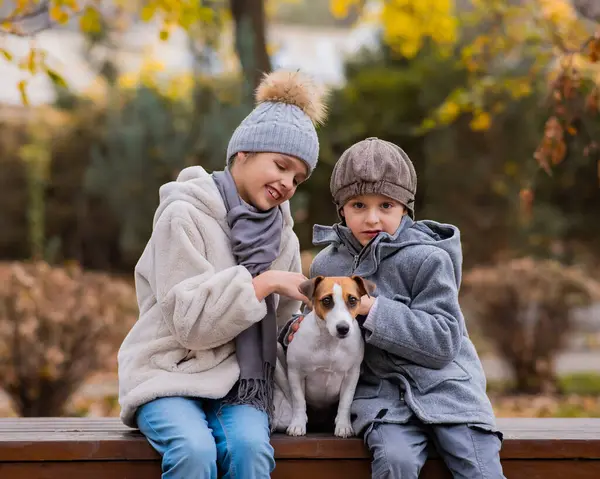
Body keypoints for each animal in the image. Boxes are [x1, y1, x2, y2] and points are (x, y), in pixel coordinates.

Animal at [274, 276, 376, 436]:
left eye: (353, 300)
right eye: (327, 300)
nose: (343, 328)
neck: (330, 342)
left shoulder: (351, 375)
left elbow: (345, 402)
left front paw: (343, 425)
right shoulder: (296, 373)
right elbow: (298, 401)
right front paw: (297, 424)